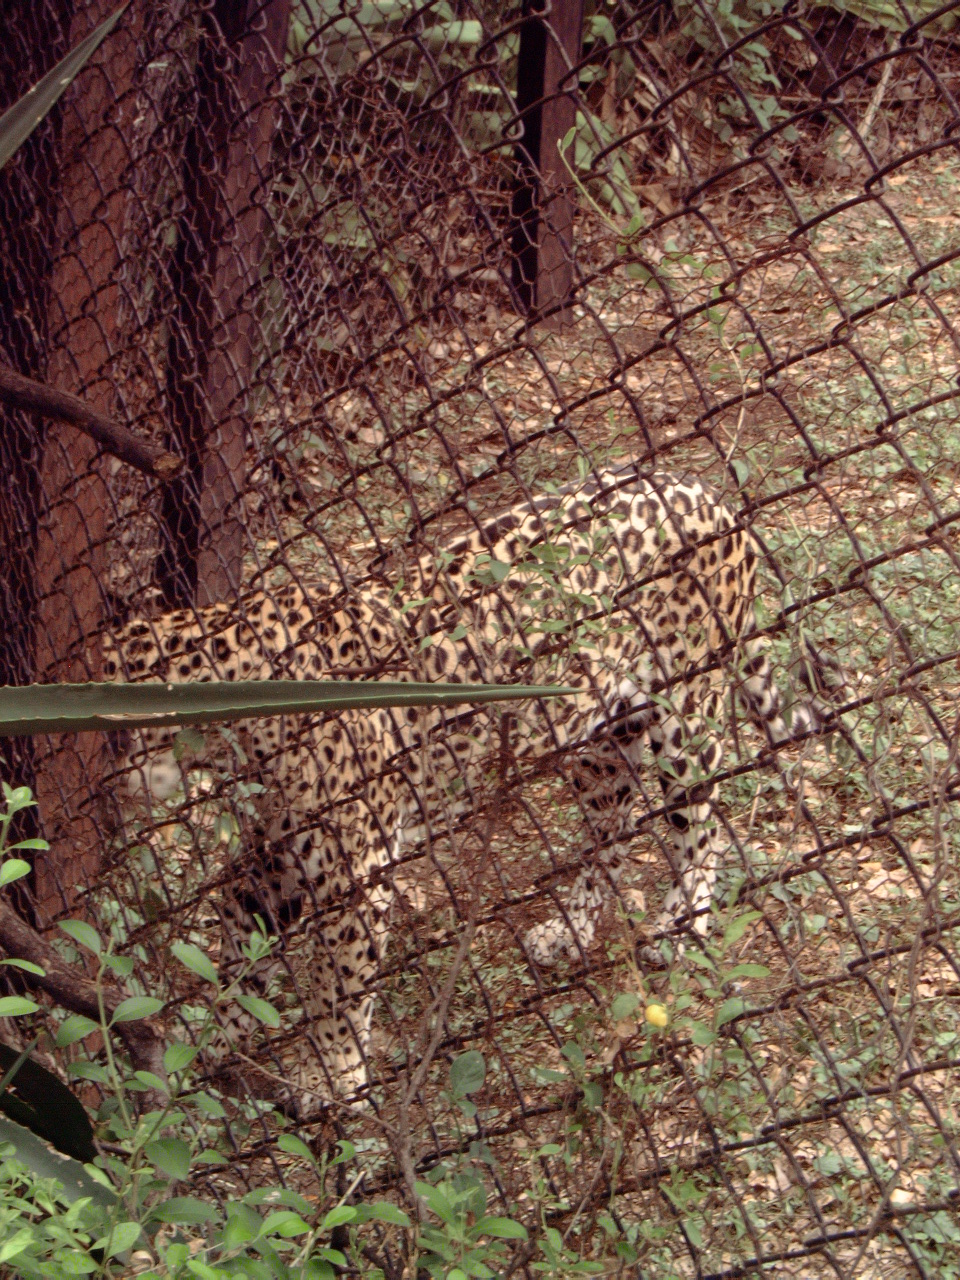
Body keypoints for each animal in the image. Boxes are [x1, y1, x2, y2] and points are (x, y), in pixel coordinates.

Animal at [104, 464, 840, 1114]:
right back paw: (569, 929)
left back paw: (681, 928)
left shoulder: (354, 883)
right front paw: (197, 1054)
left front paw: (332, 1082)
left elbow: (335, 995)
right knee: (614, 828)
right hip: (600, 737)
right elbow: (234, 969)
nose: (113, 789)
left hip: (686, 717)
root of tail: (711, 496)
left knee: (704, 828)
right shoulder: (268, 865)